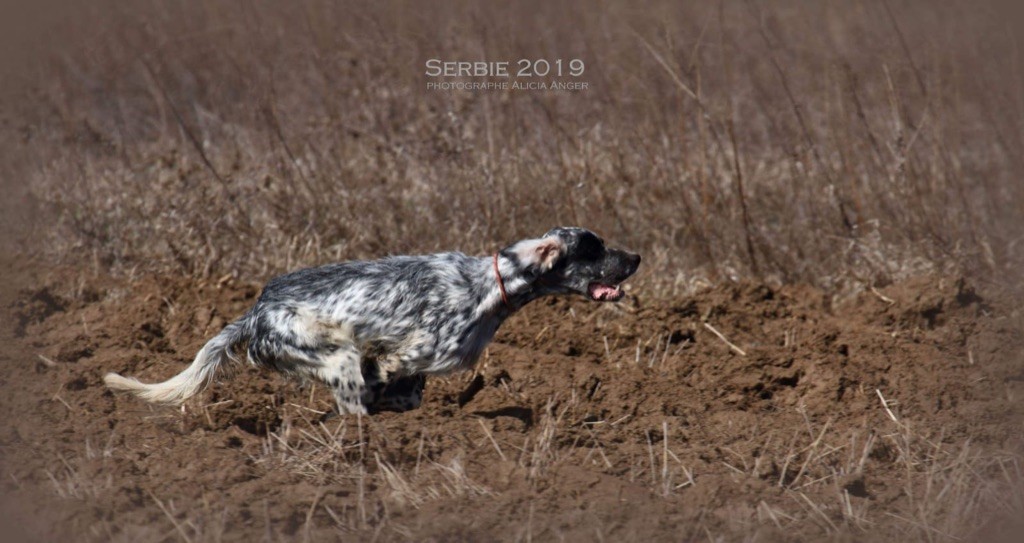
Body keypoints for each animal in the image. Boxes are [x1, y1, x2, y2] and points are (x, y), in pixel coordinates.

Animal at [108, 226, 643, 411]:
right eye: (594, 247)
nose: (636, 257)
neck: (491, 287)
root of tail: (255, 311)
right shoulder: (403, 356)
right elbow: (386, 378)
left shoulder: (412, 372)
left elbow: (408, 395)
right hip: (336, 356)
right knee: (350, 406)